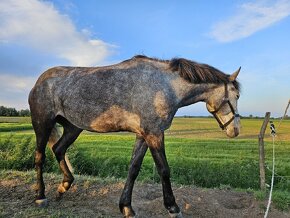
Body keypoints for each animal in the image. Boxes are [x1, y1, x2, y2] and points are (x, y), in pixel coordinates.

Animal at [29, 55, 241, 217]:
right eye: (237, 96)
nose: (235, 130)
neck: (165, 85)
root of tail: (38, 82)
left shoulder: (144, 135)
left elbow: (133, 168)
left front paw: (126, 207)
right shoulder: (154, 133)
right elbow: (164, 170)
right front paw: (173, 207)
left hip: (73, 128)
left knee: (58, 149)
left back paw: (64, 186)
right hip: (43, 124)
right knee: (40, 157)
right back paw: (41, 197)